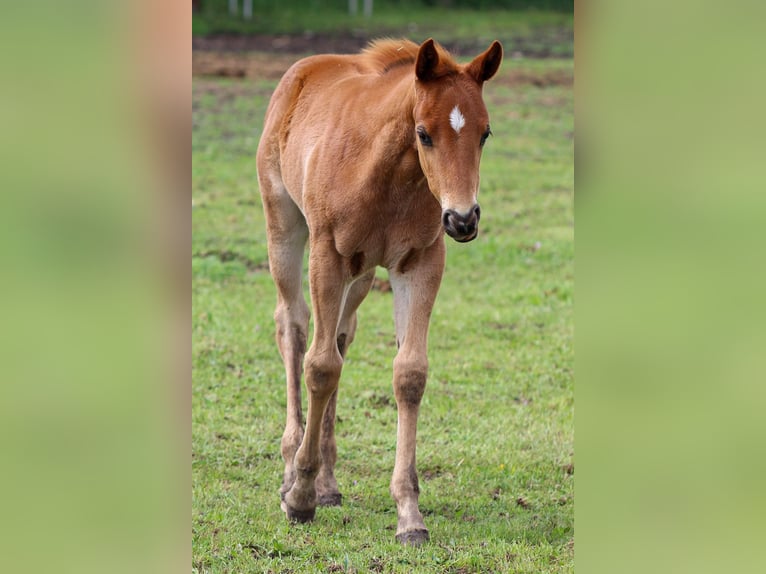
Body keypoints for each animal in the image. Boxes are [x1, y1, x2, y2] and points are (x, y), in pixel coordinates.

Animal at [256, 38, 502, 545]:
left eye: (485, 133)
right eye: (423, 133)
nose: (462, 219)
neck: (388, 172)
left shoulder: (420, 262)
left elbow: (408, 373)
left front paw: (409, 514)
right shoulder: (327, 254)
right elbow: (320, 367)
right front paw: (300, 497)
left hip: (363, 273)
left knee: (341, 334)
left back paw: (329, 482)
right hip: (284, 228)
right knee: (293, 326)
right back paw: (292, 467)